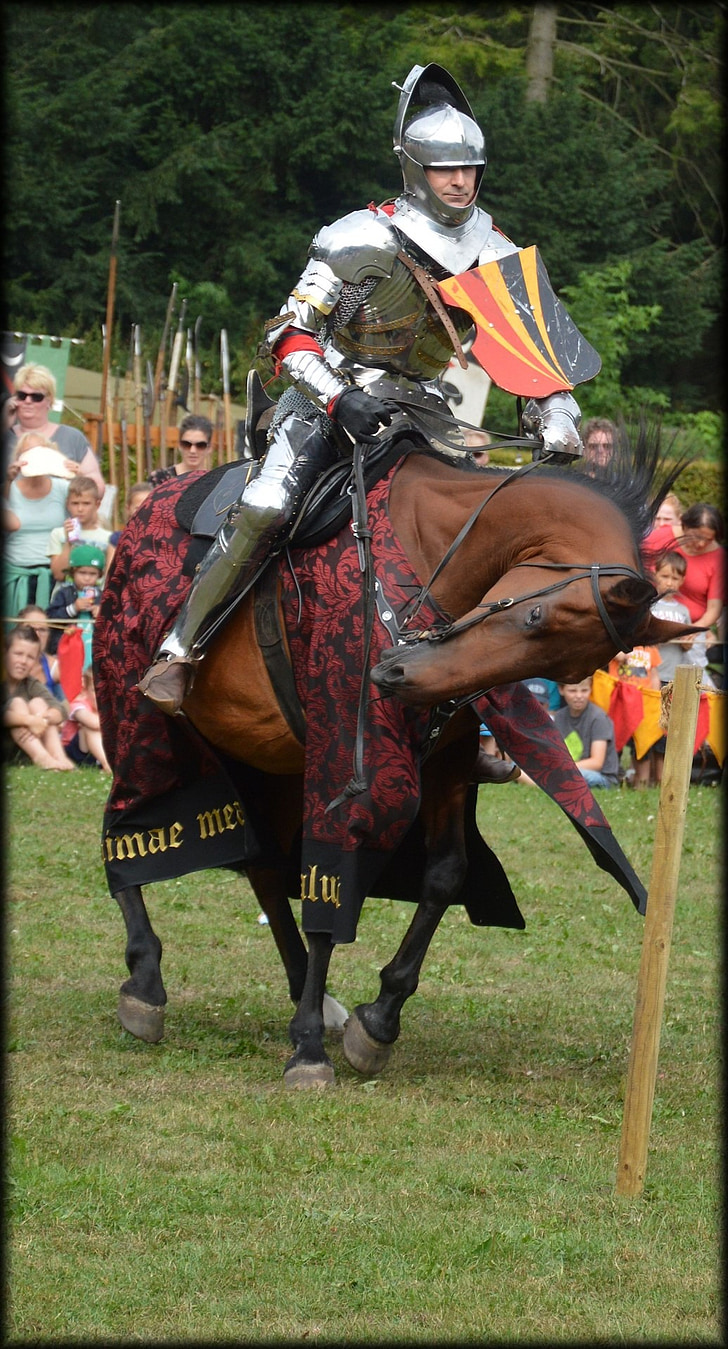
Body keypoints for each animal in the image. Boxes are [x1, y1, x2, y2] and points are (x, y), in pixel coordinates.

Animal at [103, 431, 695, 1084]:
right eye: (535, 614)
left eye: (568, 669)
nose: (398, 675)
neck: (436, 550)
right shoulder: (348, 750)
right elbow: (340, 867)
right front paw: (308, 1049)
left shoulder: (447, 760)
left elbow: (445, 874)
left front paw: (378, 1018)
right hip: (139, 720)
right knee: (129, 822)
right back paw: (146, 980)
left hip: (268, 760)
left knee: (265, 868)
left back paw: (305, 993)